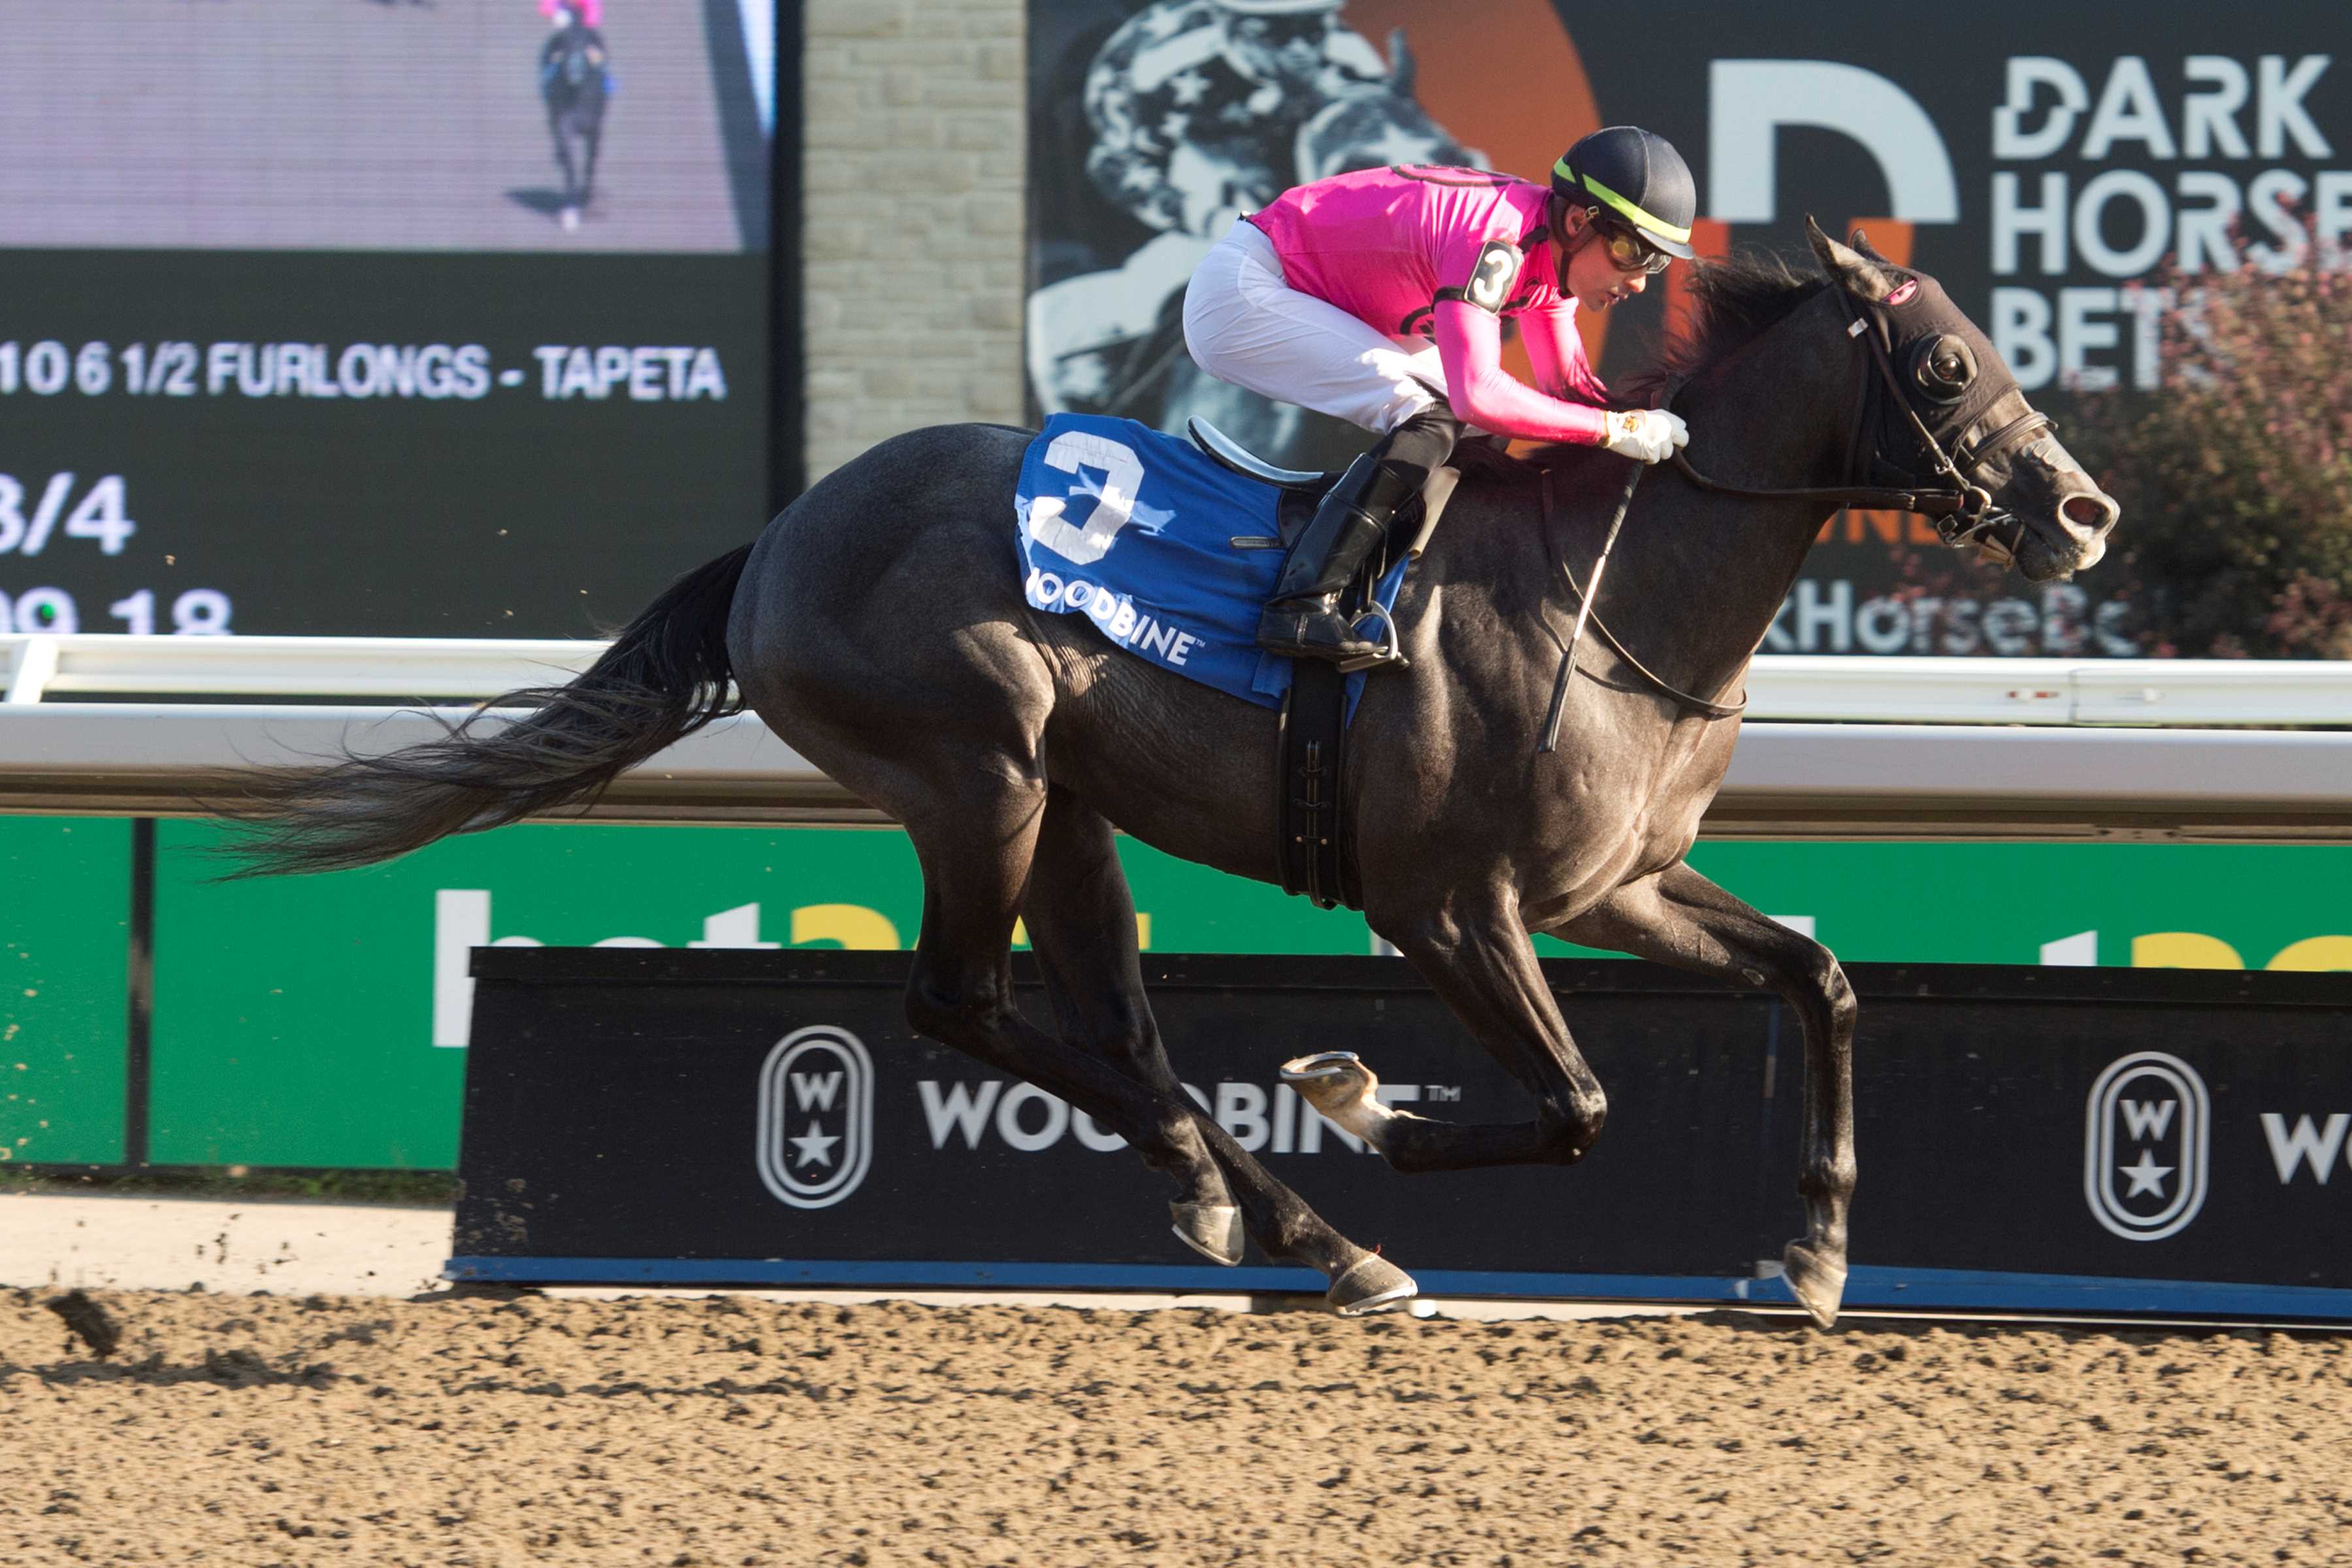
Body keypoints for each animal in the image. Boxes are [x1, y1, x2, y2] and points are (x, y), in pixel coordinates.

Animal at [221, 223, 2126, 1326]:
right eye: (1946, 361)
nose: (2085, 508)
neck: (1615, 591)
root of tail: (782, 532)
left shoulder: (1621, 886)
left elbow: (1818, 976)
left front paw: (1816, 1250)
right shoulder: (1452, 905)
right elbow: (1576, 1101)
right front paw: (1363, 1097)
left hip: (1067, 806)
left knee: (1109, 1032)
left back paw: (1269, 1215)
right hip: (973, 774)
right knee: (959, 1006)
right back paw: (1302, 1221)